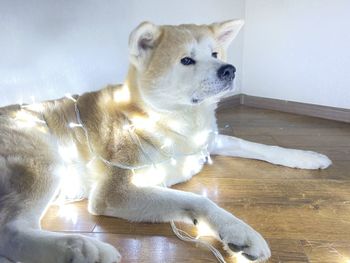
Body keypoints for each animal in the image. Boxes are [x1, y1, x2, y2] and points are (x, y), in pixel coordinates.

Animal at [0, 19, 330, 262]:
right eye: (186, 60)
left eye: (215, 54)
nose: (229, 69)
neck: (171, 119)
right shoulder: (113, 192)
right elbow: (197, 199)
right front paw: (237, 229)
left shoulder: (207, 143)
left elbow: (259, 146)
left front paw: (307, 156)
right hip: (45, 160)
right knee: (11, 232)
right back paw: (82, 249)